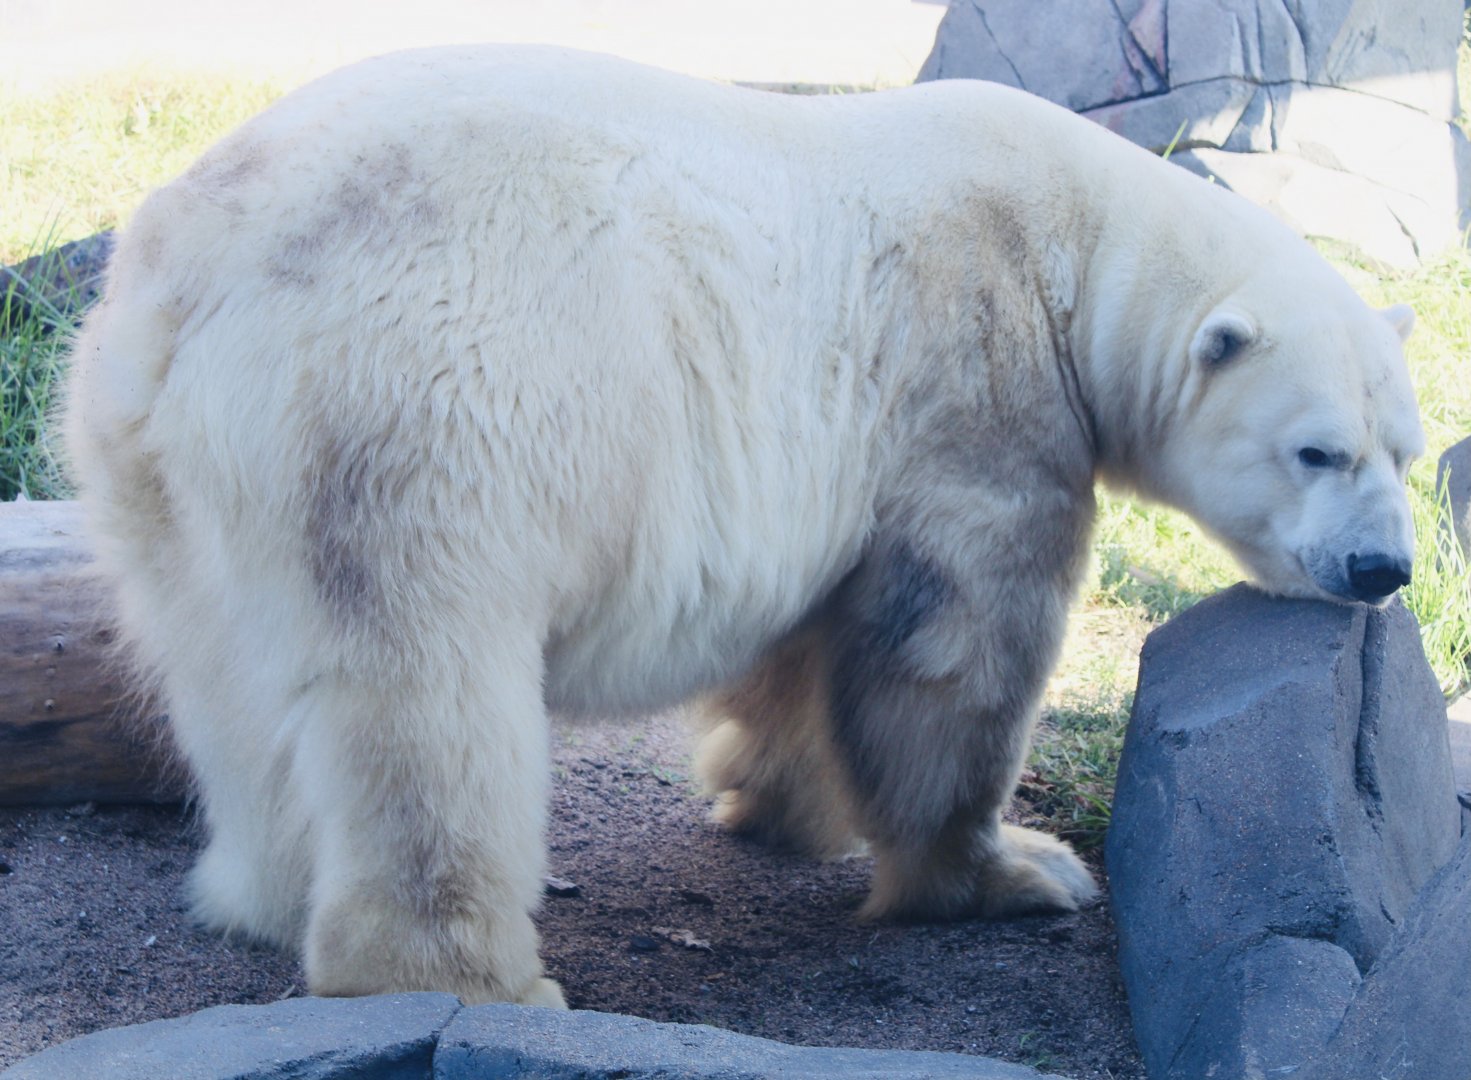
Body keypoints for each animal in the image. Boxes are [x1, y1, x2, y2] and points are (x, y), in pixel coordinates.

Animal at [62, 45, 1424, 1007]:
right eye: (1316, 449)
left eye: (1404, 450)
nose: (1380, 568)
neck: (1073, 242)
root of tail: (190, 282)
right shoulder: (975, 380)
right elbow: (954, 649)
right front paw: (1012, 872)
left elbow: (803, 646)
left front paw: (778, 809)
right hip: (405, 402)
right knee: (423, 695)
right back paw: (471, 978)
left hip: (152, 473)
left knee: (223, 683)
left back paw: (259, 892)